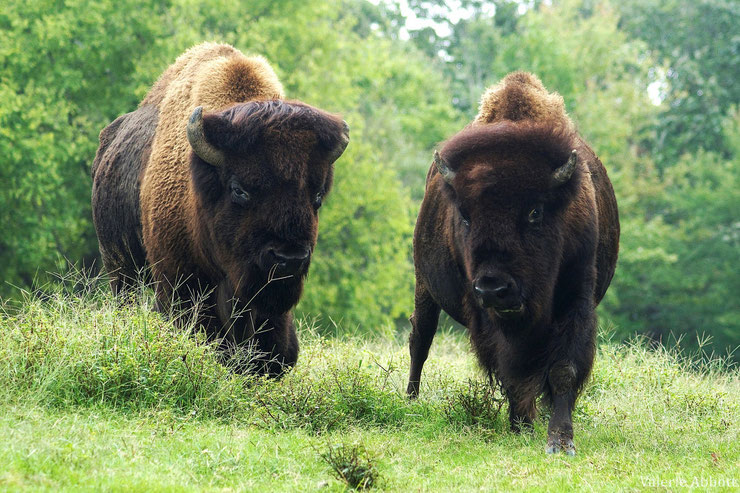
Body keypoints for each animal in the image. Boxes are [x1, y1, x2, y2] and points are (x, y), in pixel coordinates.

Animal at [404, 72, 620, 454]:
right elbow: (512, 371)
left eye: (535, 212)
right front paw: (522, 424)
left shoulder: (576, 296)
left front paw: (560, 440)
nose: (494, 288)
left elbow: (563, 370)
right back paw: (411, 400)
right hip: (424, 283)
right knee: (421, 338)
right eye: (465, 216)